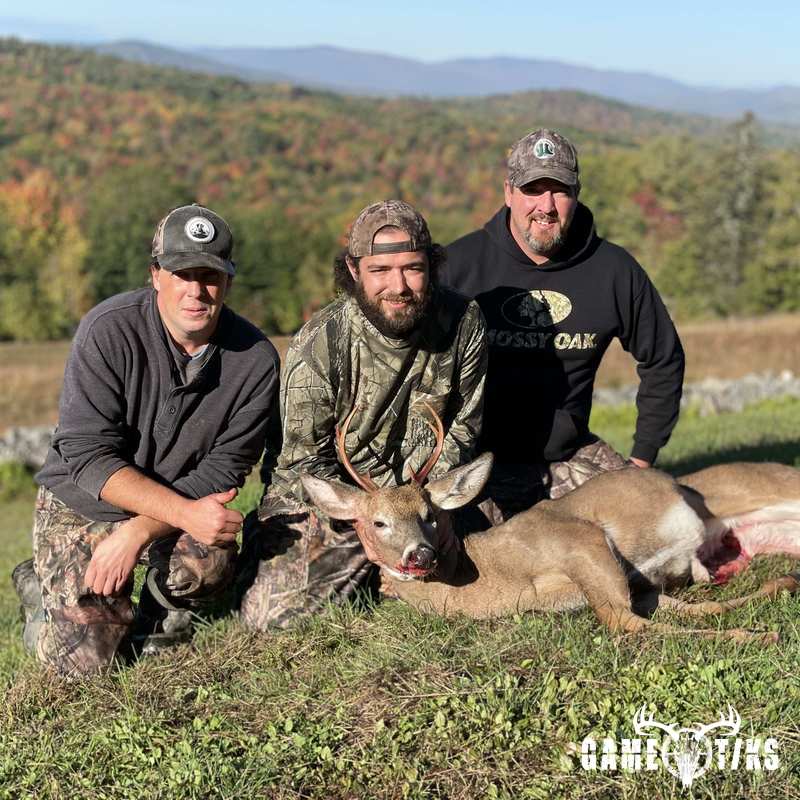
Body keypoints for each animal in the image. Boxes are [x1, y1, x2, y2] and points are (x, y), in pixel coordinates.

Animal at [300, 406, 800, 643]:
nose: (419, 555)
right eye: (378, 522)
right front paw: (771, 603)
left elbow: (626, 621)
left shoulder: (582, 540)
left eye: (431, 515)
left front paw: (757, 633)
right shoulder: (638, 585)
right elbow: (697, 607)